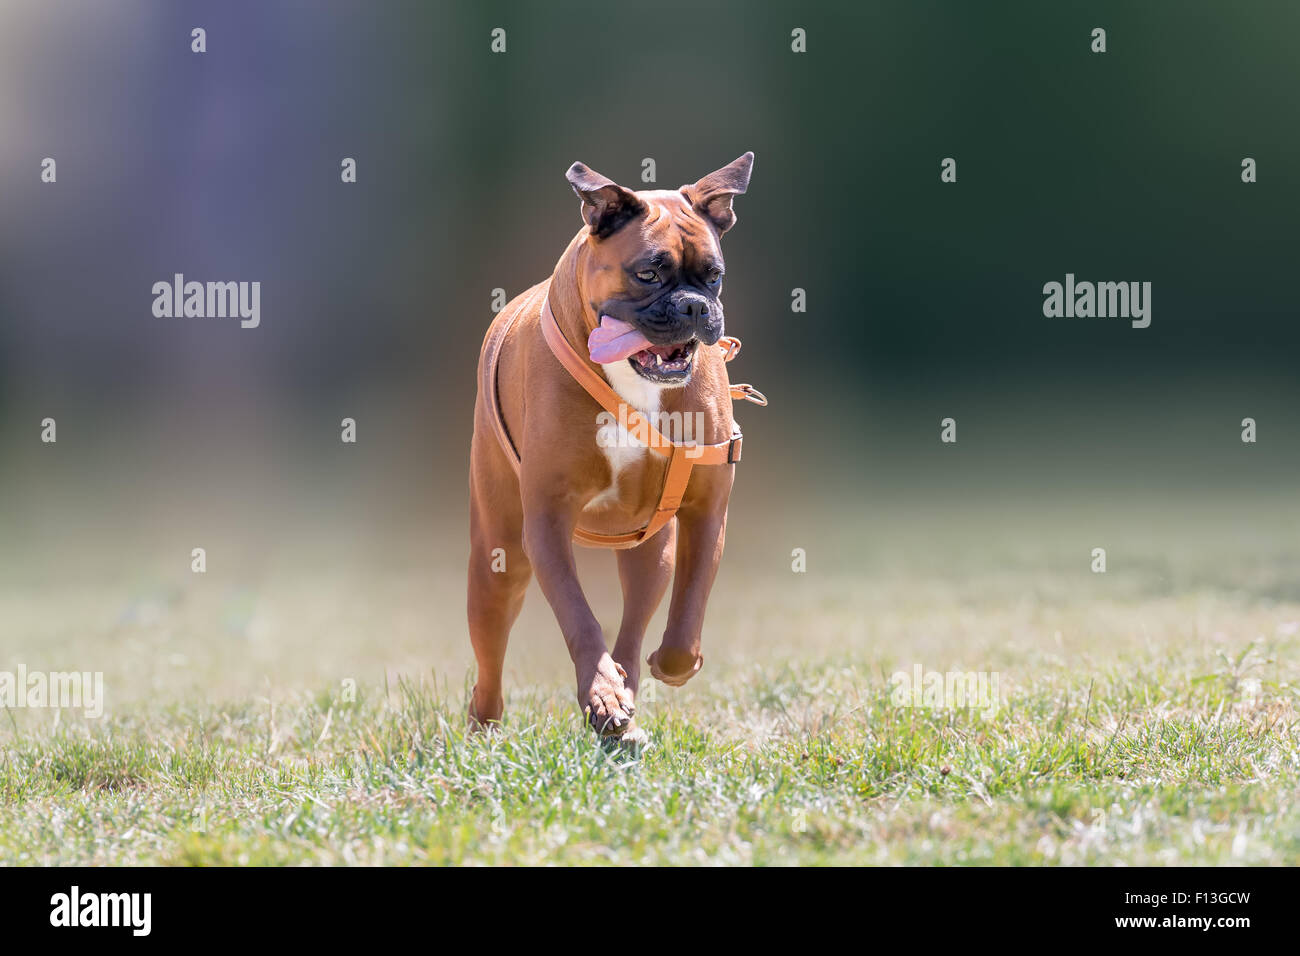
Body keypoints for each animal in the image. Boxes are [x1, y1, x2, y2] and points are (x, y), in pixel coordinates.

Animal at [467, 153, 759, 743]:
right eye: (648, 273)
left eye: (713, 276)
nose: (694, 306)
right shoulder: (547, 523)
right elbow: (580, 619)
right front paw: (600, 691)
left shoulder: (706, 511)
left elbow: (689, 610)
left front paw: (661, 669)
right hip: (498, 560)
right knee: (491, 653)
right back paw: (487, 724)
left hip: (651, 549)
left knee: (637, 619)